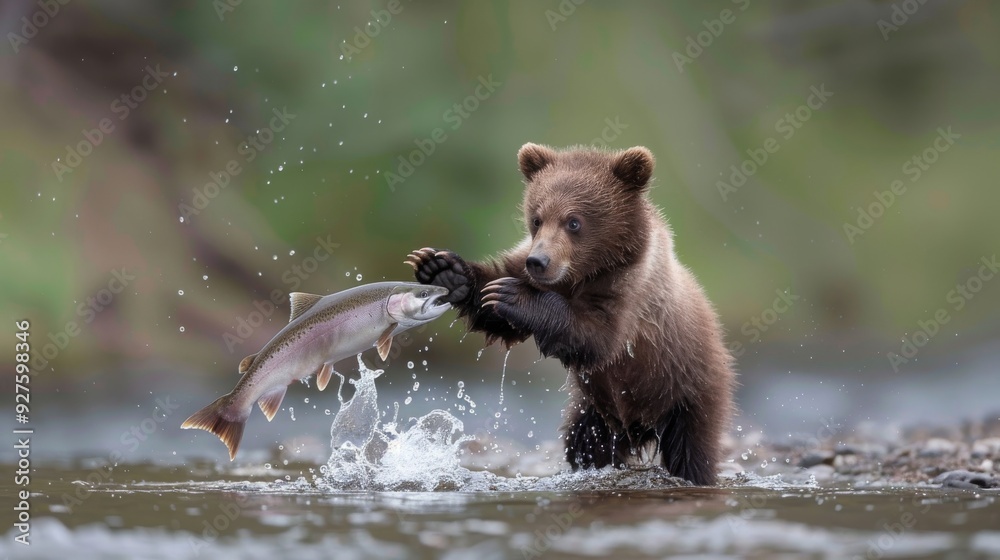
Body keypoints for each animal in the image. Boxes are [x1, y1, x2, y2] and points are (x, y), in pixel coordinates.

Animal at [406, 143, 735, 485]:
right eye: (537, 218)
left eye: (574, 221)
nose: (539, 261)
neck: (582, 273)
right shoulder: (526, 260)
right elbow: (496, 310)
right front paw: (443, 268)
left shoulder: (630, 294)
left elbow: (597, 337)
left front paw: (513, 295)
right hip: (593, 408)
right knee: (585, 442)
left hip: (686, 387)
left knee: (692, 450)